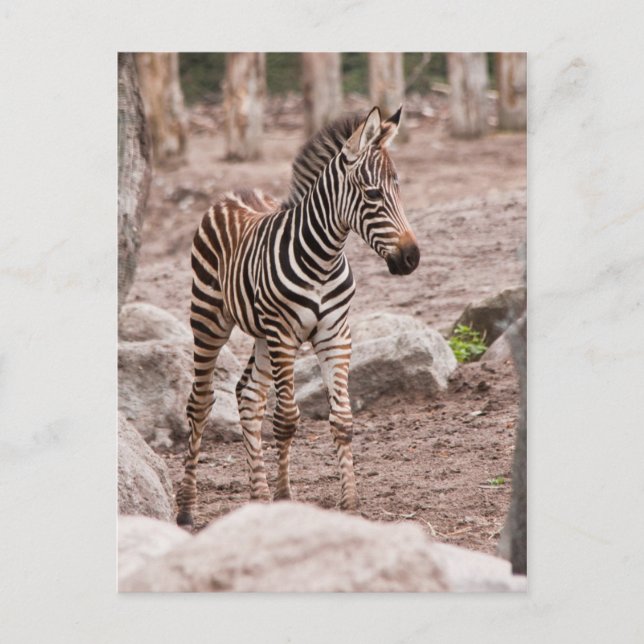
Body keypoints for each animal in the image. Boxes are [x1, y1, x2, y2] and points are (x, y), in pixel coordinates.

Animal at [176, 106, 420, 528]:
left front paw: (348, 505)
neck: (324, 258)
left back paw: (257, 498)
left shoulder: (335, 335)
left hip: (260, 334)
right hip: (209, 318)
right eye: (373, 194)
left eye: (399, 188)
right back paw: (187, 509)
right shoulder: (284, 334)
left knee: (248, 395)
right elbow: (287, 419)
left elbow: (342, 421)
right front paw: (285, 497)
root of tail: (235, 192)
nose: (412, 258)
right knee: (201, 402)